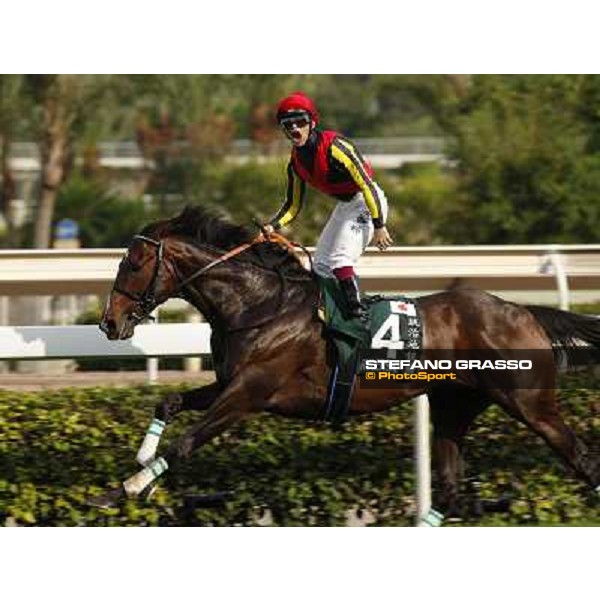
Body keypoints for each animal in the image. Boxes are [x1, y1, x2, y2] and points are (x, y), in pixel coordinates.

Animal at [94, 205, 600, 520]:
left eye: (133, 263)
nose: (109, 323)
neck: (259, 305)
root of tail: (523, 311)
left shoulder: (248, 394)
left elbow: (184, 444)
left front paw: (129, 488)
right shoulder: (229, 383)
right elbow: (168, 402)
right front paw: (137, 467)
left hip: (532, 404)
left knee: (581, 460)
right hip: (454, 406)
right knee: (452, 492)